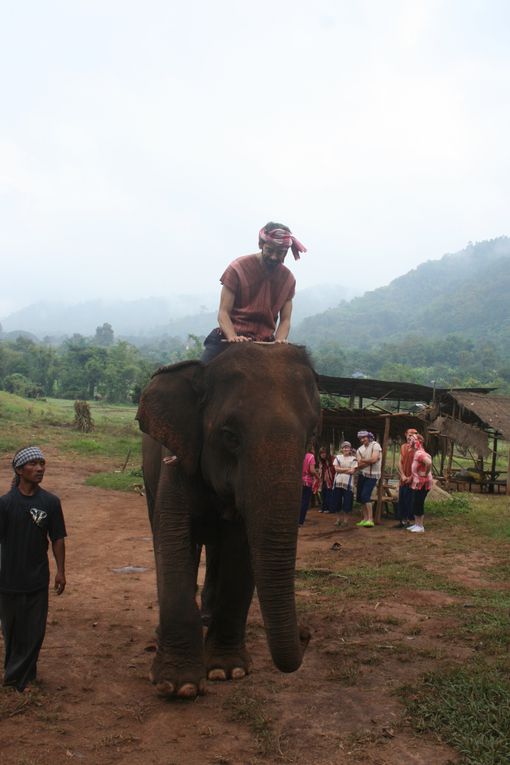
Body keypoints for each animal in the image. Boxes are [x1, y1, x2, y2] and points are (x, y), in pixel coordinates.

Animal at [135, 344, 318, 700]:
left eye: (311, 435)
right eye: (230, 436)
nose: (306, 633)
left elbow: (240, 550)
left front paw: (226, 671)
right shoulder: (176, 461)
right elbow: (174, 539)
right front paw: (177, 685)